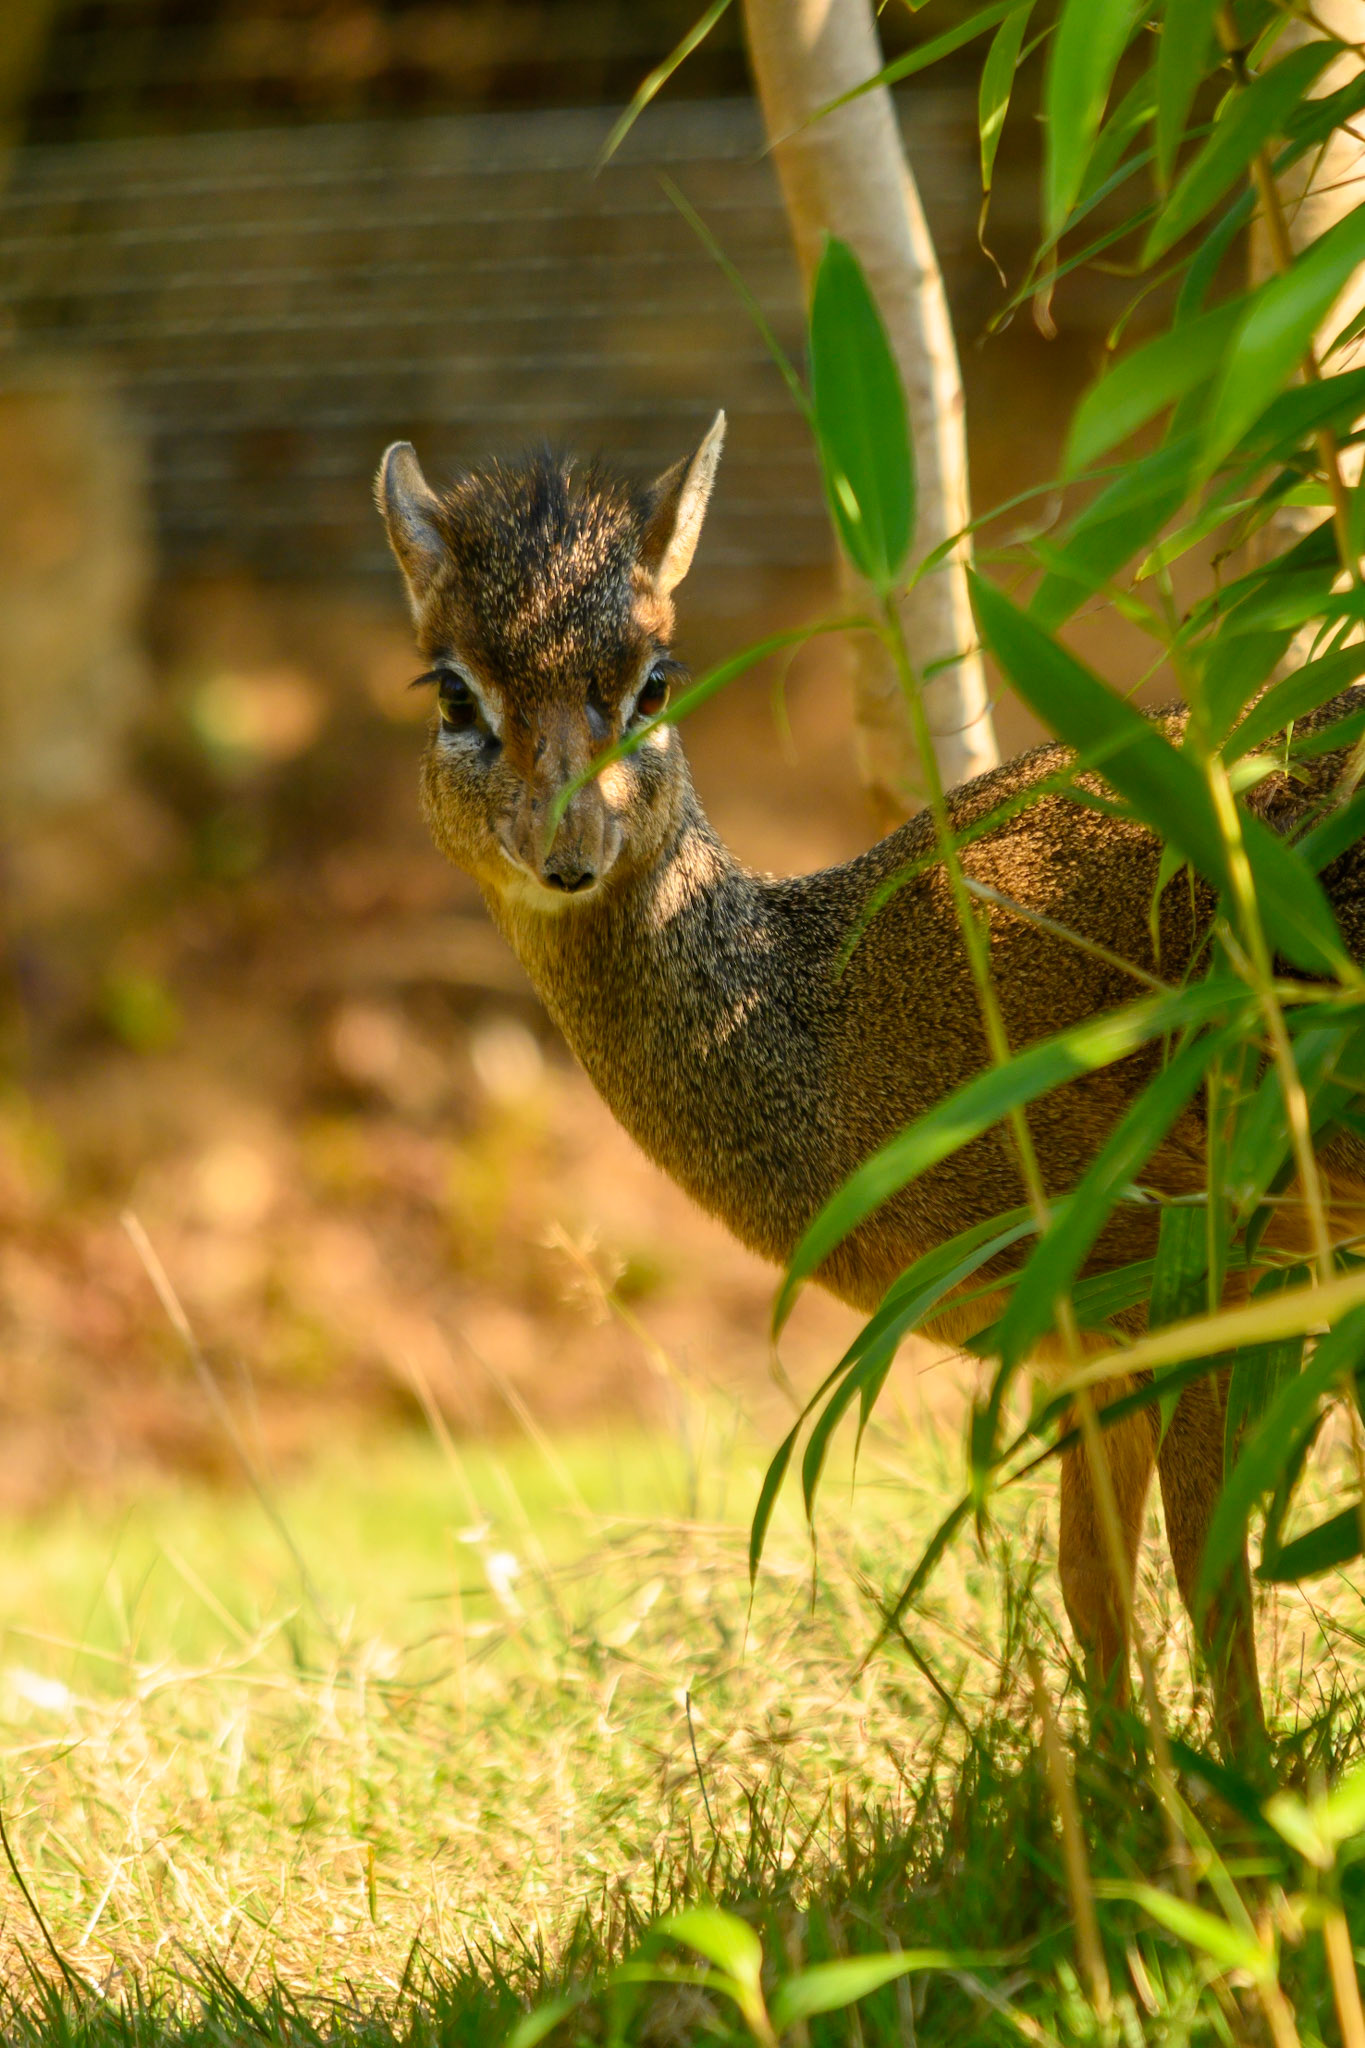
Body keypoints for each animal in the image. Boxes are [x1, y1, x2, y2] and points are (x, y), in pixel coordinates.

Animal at [375, 413, 1365, 1758]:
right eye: (453, 690)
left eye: (655, 681)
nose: (567, 852)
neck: (839, 1036)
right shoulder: (1084, 1333)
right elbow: (1094, 1580)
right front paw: (1120, 1781)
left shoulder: (1193, 1270)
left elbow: (1212, 1566)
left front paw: (1245, 1788)